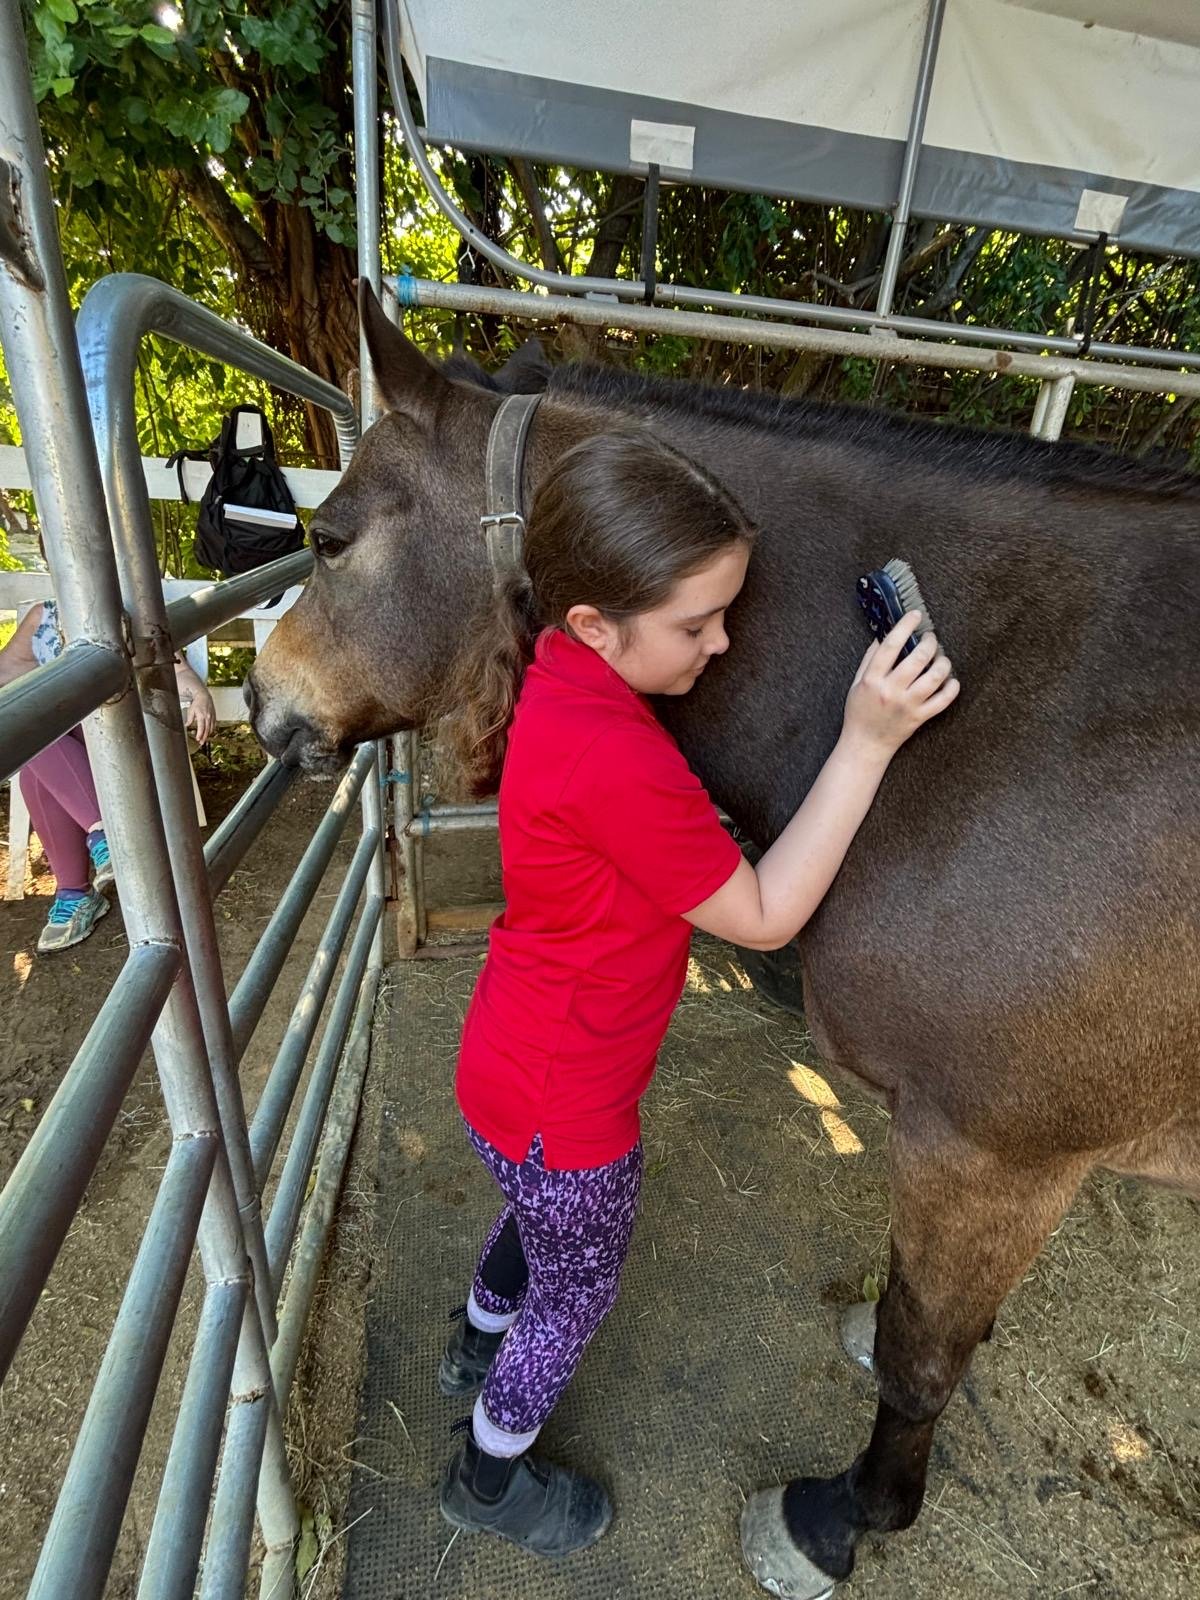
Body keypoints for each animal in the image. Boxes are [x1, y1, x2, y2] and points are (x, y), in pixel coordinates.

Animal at [247, 283, 1200, 1598]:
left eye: (331, 539)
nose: (258, 698)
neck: (1018, 718)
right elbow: (928, 1322)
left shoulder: (989, 1148)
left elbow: (922, 1356)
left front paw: (838, 1520)